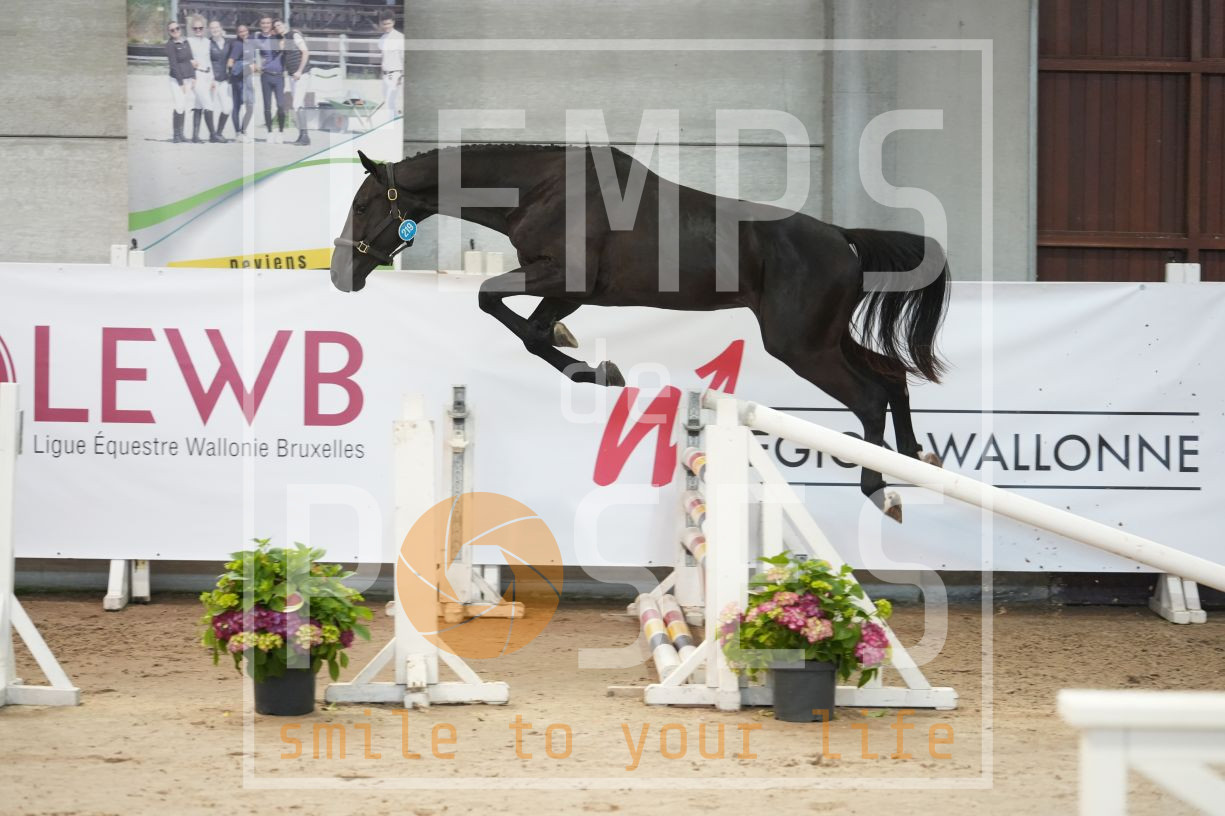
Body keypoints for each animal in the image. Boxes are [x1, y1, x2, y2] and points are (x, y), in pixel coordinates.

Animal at [330, 144, 949, 522]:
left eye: (362, 205)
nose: (341, 275)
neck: (544, 190)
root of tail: (842, 237)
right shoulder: (566, 289)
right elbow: (531, 329)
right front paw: (591, 363)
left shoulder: (564, 277)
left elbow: (496, 304)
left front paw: (595, 369)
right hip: (826, 339)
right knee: (893, 379)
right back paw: (916, 461)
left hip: (802, 346)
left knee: (868, 396)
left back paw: (882, 489)